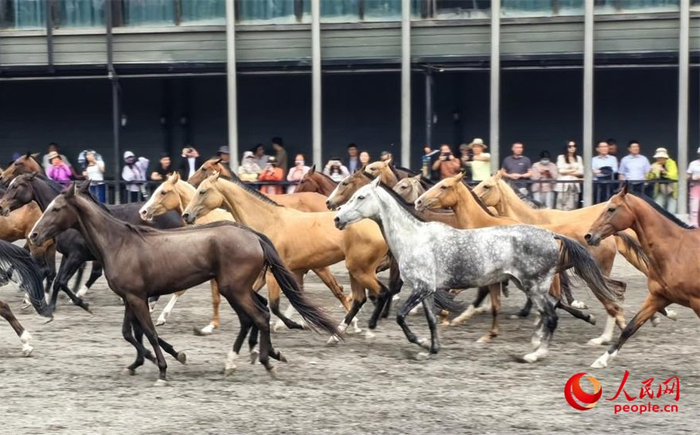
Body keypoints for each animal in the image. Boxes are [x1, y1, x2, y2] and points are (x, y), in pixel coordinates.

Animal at [29, 181, 338, 384]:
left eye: (56, 208)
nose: (33, 235)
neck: (119, 243)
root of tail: (254, 235)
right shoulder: (132, 297)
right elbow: (131, 333)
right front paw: (140, 362)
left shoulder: (137, 298)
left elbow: (148, 333)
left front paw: (164, 368)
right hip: (236, 289)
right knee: (253, 317)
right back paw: (249, 358)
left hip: (234, 289)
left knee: (260, 317)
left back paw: (264, 362)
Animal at [335, 178, 623, 362]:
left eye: (360, 196)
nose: (337, 218)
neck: (414, 238)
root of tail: (552, 236)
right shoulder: (425, 291)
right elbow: (430, 321)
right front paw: (431, 348)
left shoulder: (422, 288)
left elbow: (401, 317)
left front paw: (420, 343)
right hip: (529, 286)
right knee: (550, 311)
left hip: (534, 286)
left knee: (552, 315)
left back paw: (534, 354)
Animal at [584, 184, 700, 368]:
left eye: (611, 209)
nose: (589, 236)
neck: (676, 251)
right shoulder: (658, 297)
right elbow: (630, 328)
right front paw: (602, 360)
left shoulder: (696, 301)